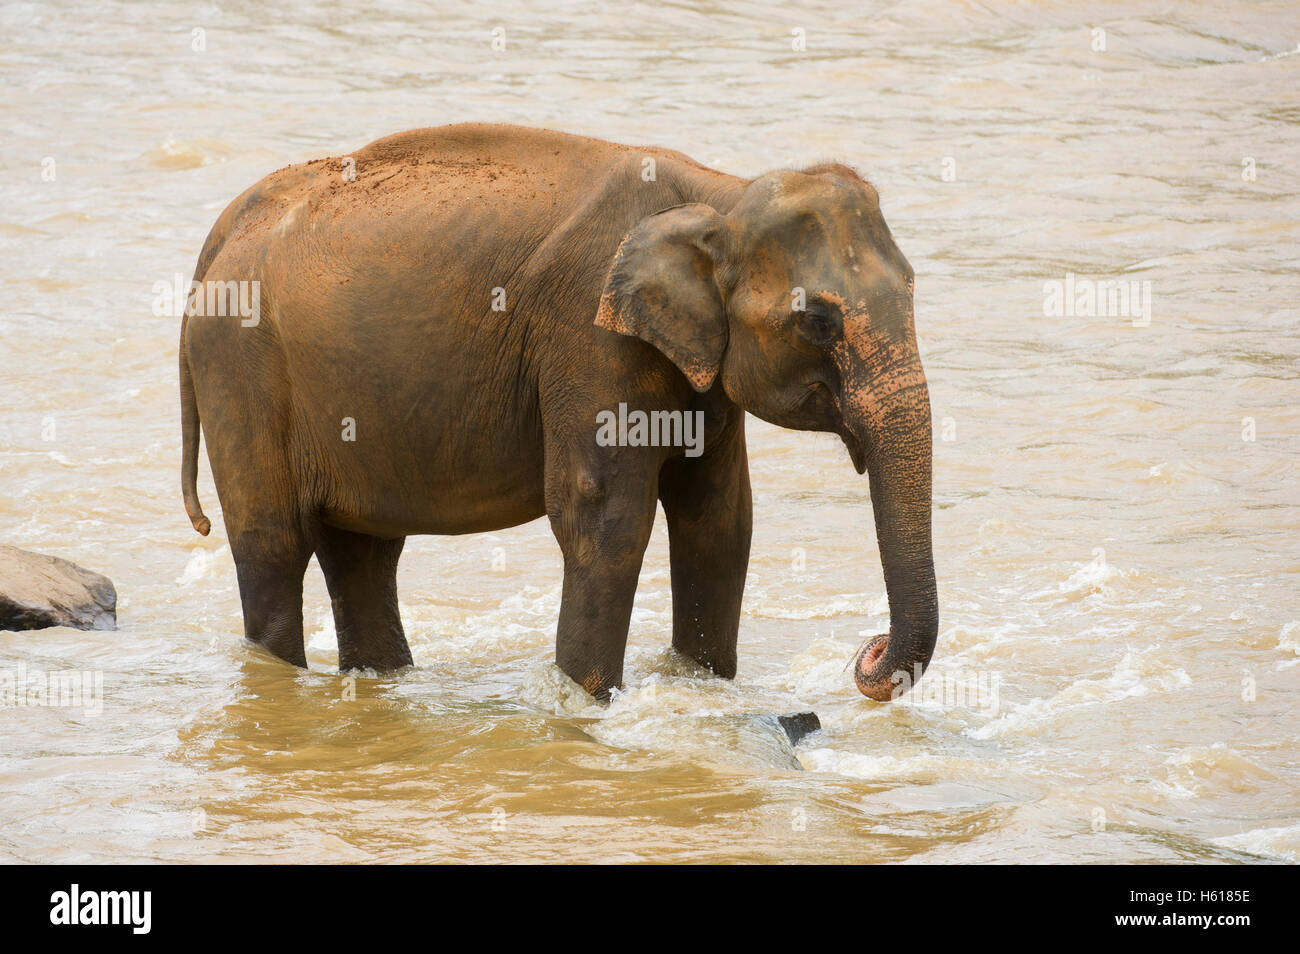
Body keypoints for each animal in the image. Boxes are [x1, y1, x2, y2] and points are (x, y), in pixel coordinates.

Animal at [179, 123, 938, 702]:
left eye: (913, 288)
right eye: (818, 322)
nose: (867, 655)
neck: (718, 194)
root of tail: (220, 233)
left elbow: (721, 519)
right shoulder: (589, 336)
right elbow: (602, 515)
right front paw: (587, 705)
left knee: (363, 549)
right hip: (241, 368)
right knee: (274, 543)